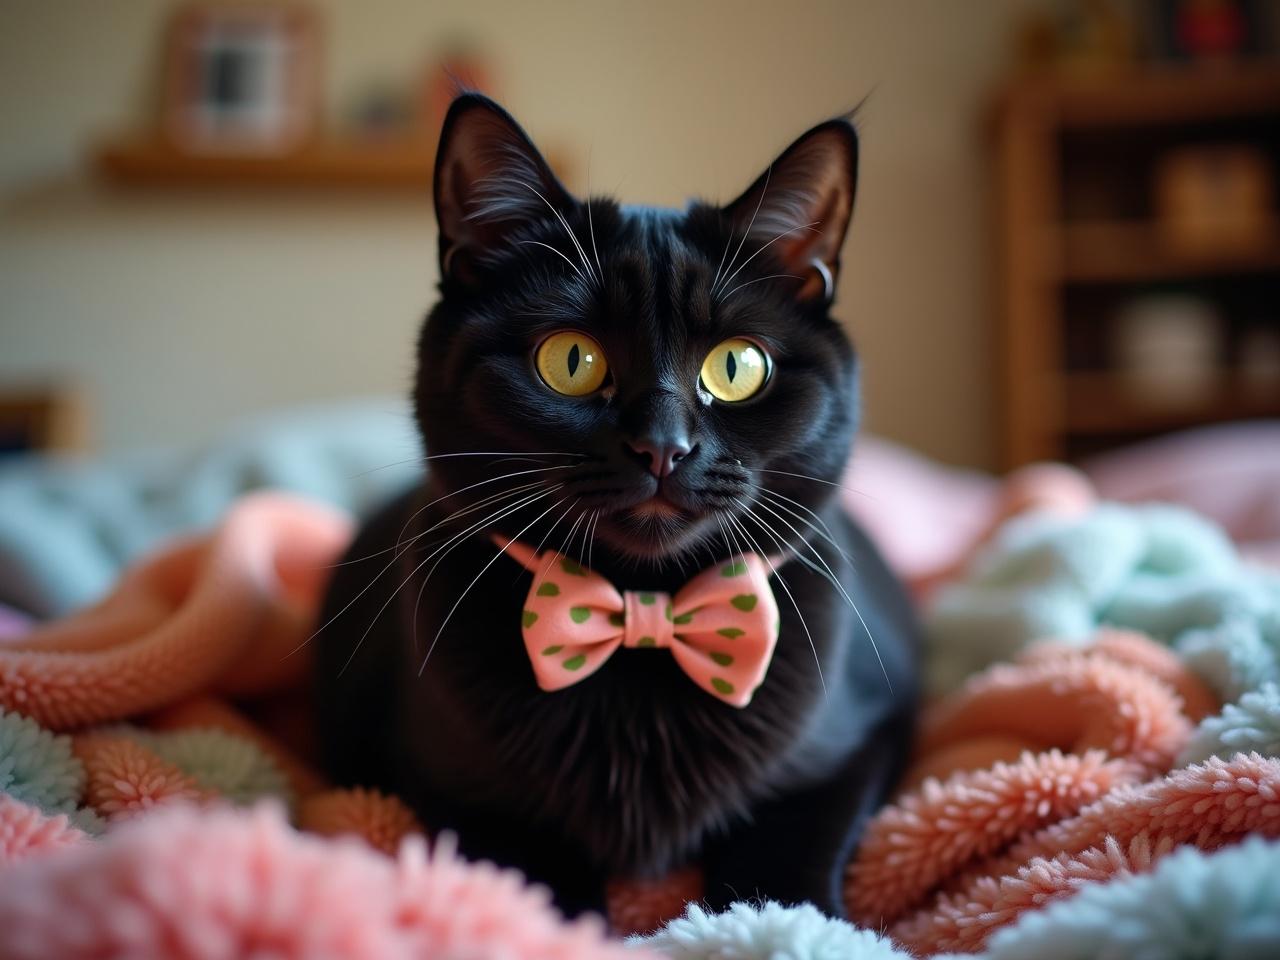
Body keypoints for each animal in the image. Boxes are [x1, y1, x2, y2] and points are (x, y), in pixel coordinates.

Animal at [317, 94, 921, 921]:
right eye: (570, 360)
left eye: (737, 367)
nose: (661, 447)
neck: (646, 616)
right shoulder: (447, 788)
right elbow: (529, 888)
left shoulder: (862, 740)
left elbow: (787, 873)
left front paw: (789, 923)